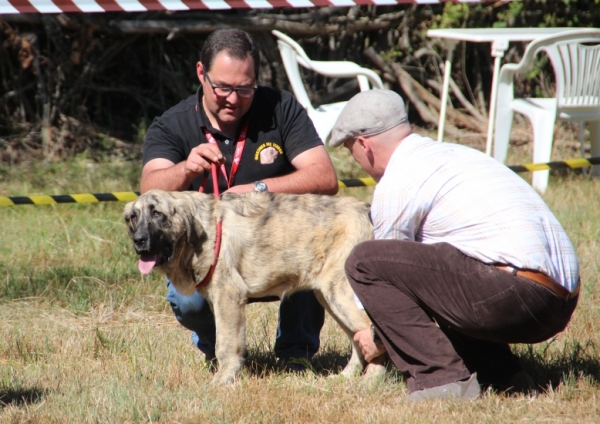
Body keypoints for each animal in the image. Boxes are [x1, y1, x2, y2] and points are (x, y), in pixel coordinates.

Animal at [123, 189, 384, 384]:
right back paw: (346, 377)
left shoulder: (229, 297)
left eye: (157, 214)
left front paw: (222, 381)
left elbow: (225, 345)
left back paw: (372, 380)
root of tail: (368, 210)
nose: (139, 241)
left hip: (340, 295)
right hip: (330, 298)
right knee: (358, 339)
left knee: (373, 334)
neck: (201, 234)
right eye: (133, 217)